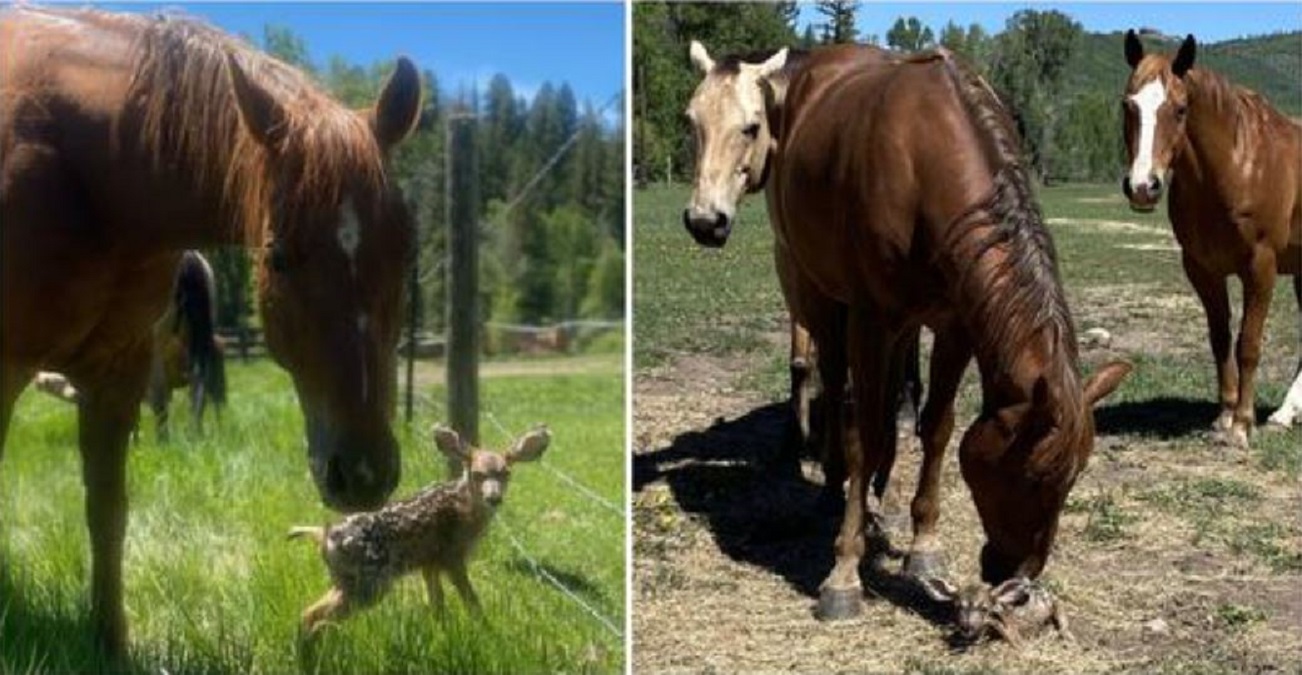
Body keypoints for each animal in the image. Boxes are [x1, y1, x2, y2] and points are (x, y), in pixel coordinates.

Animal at [682, 41, 927, 513]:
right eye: (692, 121)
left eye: (751, 127)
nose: (705, 222)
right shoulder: (791, 260)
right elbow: (802, 361)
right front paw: (793, 439)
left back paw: (907, 409)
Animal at [1119, 31, 1302, 448]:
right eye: (1128, 105)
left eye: (1181, 109)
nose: (1143, 187)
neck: (1238, 164)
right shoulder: (1202, 268)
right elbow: (1220, 338)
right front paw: (1224, 416)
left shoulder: (1261, 266)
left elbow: (1248, 343)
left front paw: (1242, 425)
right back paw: (1286, 414)